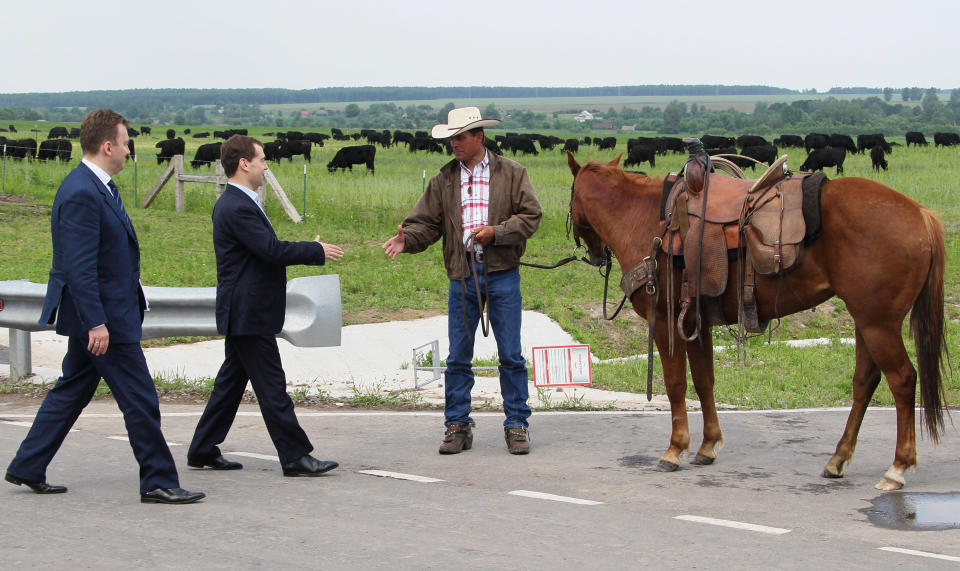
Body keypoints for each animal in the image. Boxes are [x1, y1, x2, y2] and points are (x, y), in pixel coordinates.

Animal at [568, 153, 948, 492]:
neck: (644, 219)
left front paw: (675, 449)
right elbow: (704, 381)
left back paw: (897, 468)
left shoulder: (665, 322)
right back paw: (838, 460)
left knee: (902, 380)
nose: (596, 255)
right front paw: (708, 445)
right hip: (866, 321)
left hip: (879, 324)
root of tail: (921, 214)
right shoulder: (697, 323)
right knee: (865, 382)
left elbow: (676, 385)